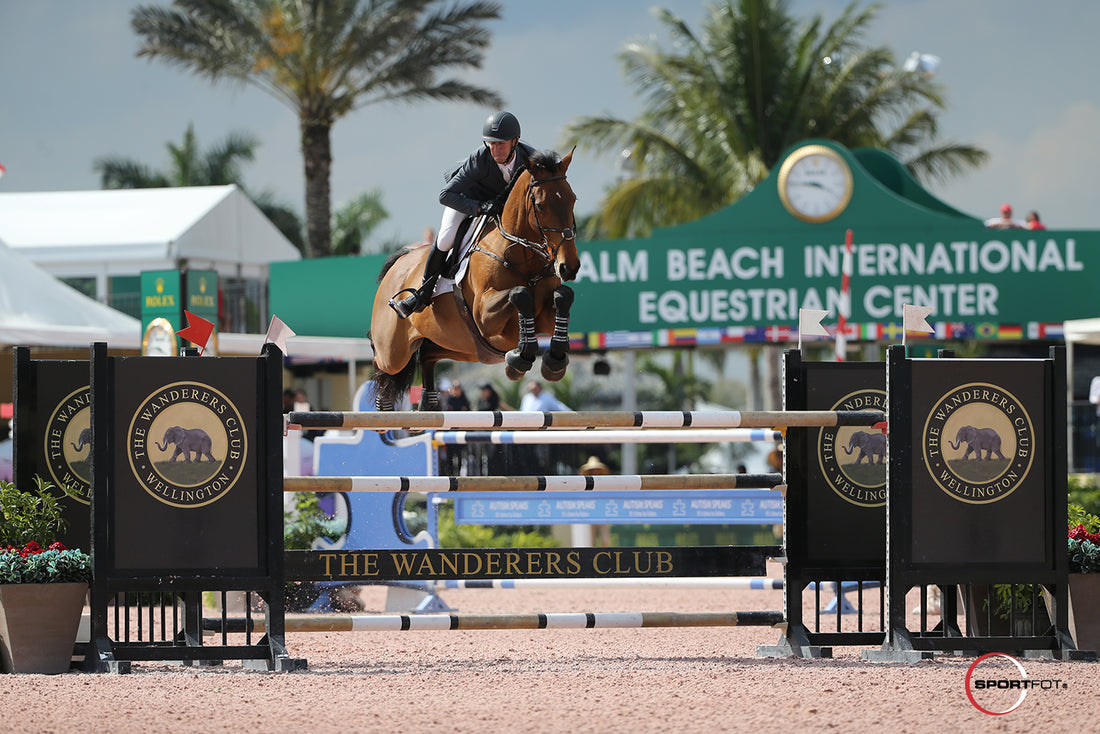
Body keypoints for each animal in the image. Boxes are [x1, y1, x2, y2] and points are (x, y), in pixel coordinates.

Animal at [369, 147, 580, 413]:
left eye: (573, 200)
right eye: (541, 206)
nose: (569, 267)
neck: (519, 252)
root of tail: (398, 263)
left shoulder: (542, 316)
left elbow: (563, 296)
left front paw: (554, 361)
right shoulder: (484, 316)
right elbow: (519, 293)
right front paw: (519, 359)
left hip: (464, 347)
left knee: (427, 354)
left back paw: (428, 403)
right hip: (393, 351)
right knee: (382, 366)